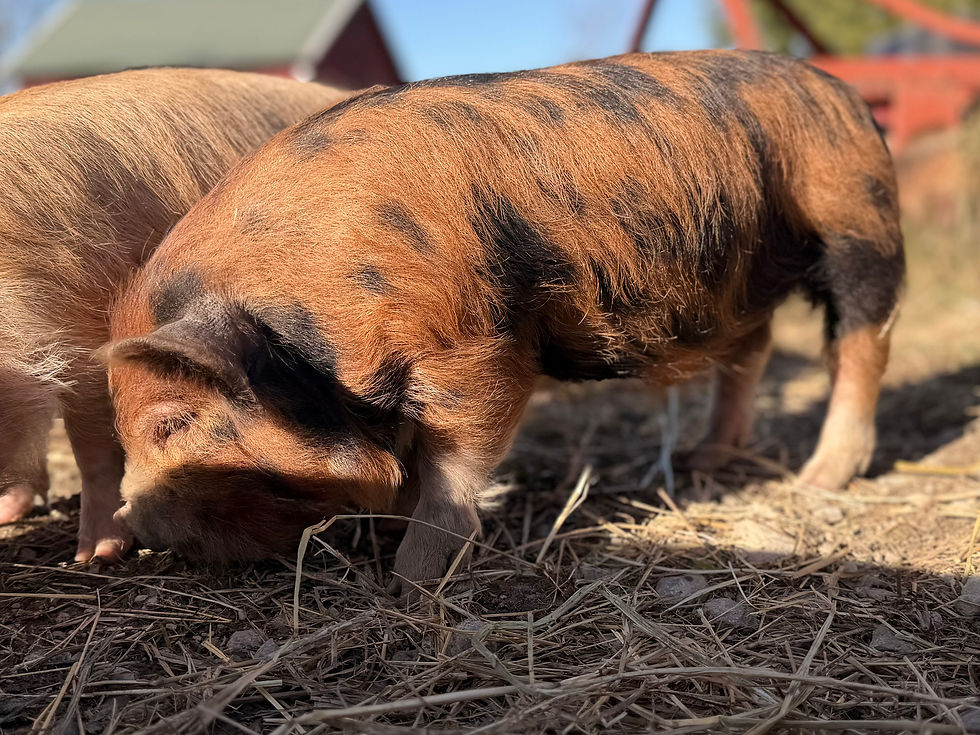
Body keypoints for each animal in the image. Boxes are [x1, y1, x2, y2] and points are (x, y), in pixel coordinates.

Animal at [103, 51, 904, 591]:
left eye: (171, 423)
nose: (133, 526)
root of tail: (845, 93)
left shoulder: (473, 348)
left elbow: (452, 468)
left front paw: (409, 582)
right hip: (740, 282)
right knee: (753, 350)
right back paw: (708, 461)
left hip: (856, 221)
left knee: (862, 344)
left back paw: (821, 478)